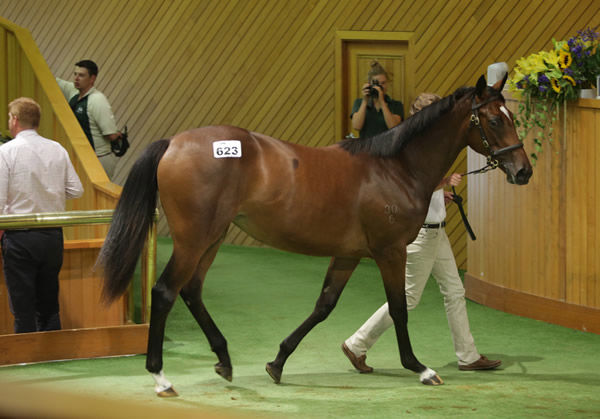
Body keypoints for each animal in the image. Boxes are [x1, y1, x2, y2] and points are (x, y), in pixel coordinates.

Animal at [97, 75, 528, 398]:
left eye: (512, 116)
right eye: (494, 120)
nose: (523, 171)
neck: (396, 168)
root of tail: (174, 142)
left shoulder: (349, 254)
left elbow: (324, 306)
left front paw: (277, 362)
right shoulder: (389, 251)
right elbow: (398, 307)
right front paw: (419, 368)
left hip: (212, 238)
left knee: (191, 291)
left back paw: (224, 360)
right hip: (194, 239)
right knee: (165, 292)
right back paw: (160, 377)